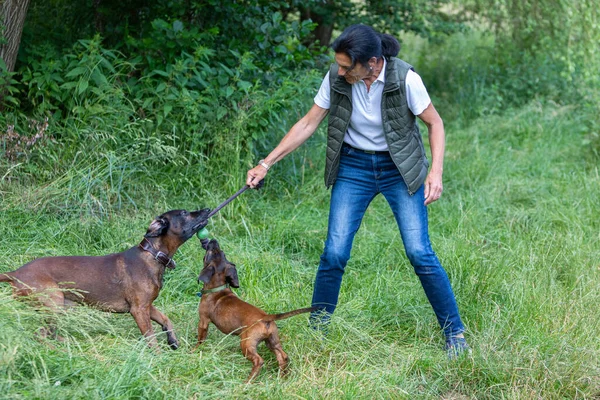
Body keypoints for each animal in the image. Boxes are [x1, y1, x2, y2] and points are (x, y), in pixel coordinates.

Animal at [0, 208, 210, 348]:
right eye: (184, 213)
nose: (207, 209)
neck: (152, 254)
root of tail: (14, 273)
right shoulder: (138, 310)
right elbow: (151, 338)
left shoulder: (147, 306)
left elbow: (166, 319)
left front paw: (172, 339)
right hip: (54, 303)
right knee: (42, 335)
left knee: (48, 333)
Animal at [197, 239, 316, 382]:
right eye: (221, 253)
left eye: (211, 253)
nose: (213, 240)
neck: (218, 288)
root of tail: (266, 317)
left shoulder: (203, 321)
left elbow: (200, 338)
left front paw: (194, 351)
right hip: (272, 341)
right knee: (283, 356)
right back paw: (282, 377)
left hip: (247, 344)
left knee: (259, 360)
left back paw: (248, 381)